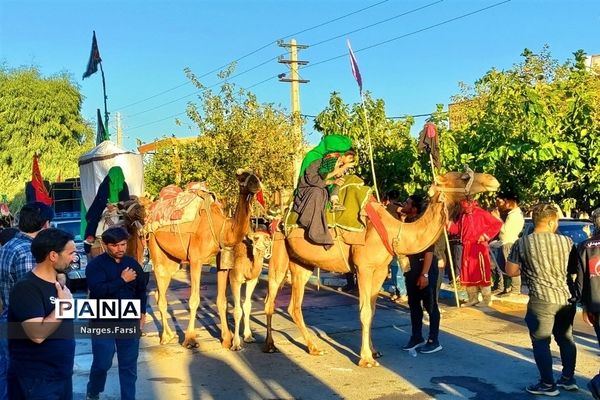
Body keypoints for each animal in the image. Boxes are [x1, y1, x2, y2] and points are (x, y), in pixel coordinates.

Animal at [148, 170, 262, 348]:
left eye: (257, 176)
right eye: (242, 177)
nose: (256, 183)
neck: (221, 228)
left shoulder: (221, 260)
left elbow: (222, 300)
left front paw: (227, 339)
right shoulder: (195, 259)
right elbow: (194, 299)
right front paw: (190, 339)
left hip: (171, 260)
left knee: (160, 291)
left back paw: (170, 335)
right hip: (154, 245)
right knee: (161, 287)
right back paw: (165, 338)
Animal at [264, 170, 500, 368]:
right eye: (463, 175)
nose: (492, 179)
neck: (394, 230)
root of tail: (278, 216)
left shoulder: (379, 270)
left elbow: (373, 310)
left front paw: (374, 351)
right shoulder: (364, 268)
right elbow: (364, 311)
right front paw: (366, 359)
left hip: (302, 263)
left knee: (293, 305)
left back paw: (313, 348)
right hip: (279, 251)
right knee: (271, 297)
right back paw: (270, 345)